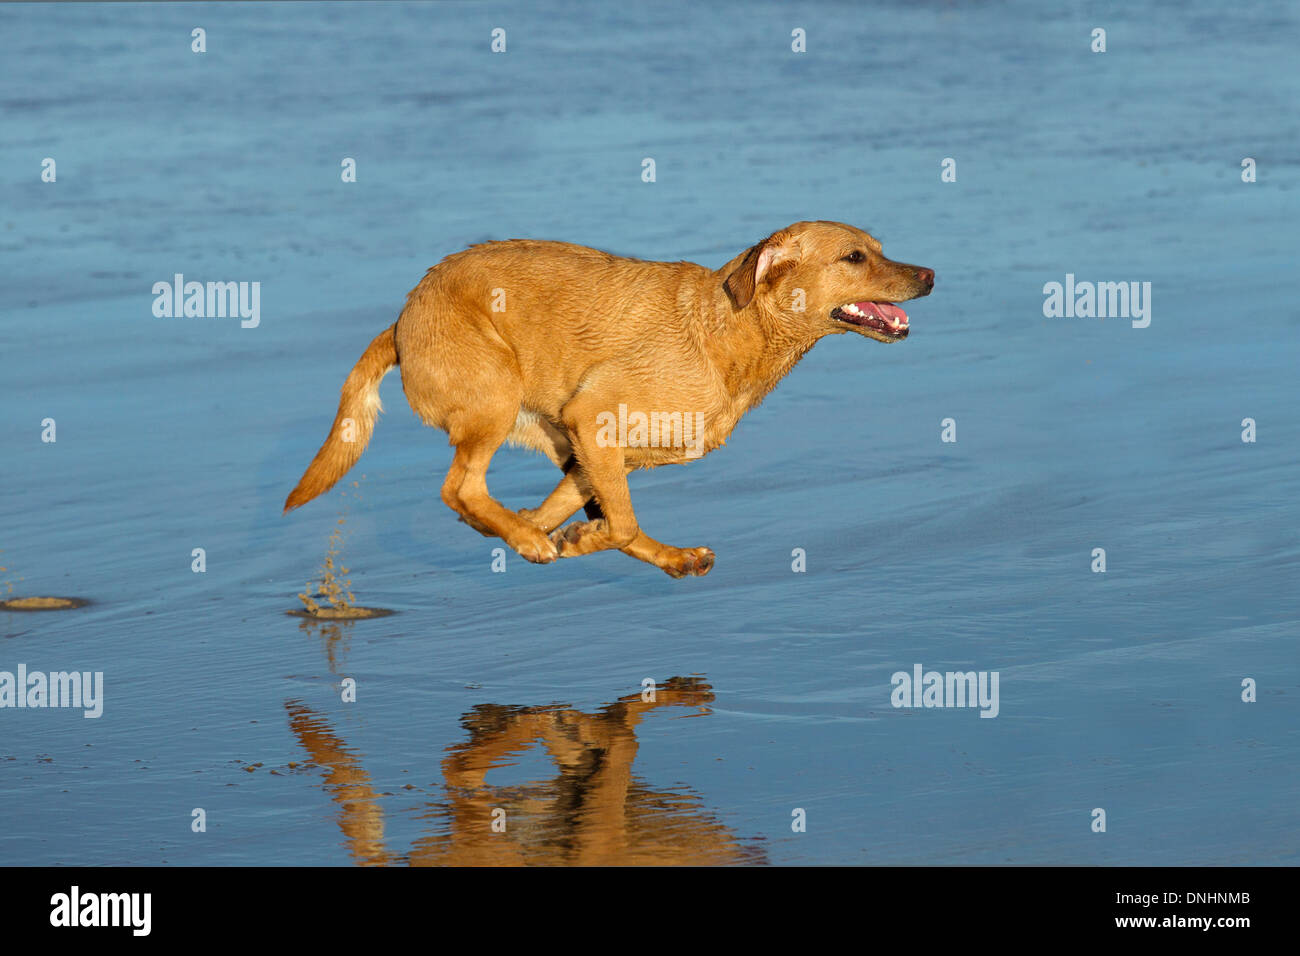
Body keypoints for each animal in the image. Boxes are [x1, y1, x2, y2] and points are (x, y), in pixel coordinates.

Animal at [284, 222, 935, 574]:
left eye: (880, 247)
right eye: (855, 257)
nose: (930, 274)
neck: (727, 331)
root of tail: (399, 320)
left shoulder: (592, 444)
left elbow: (598, 515)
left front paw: (568, 537)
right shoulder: (593, 419)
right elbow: (618, 524)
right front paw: (569, 541)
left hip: (546, 430)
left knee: (506, 505)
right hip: (496, 397)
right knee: (460, 488)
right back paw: (531, 540)